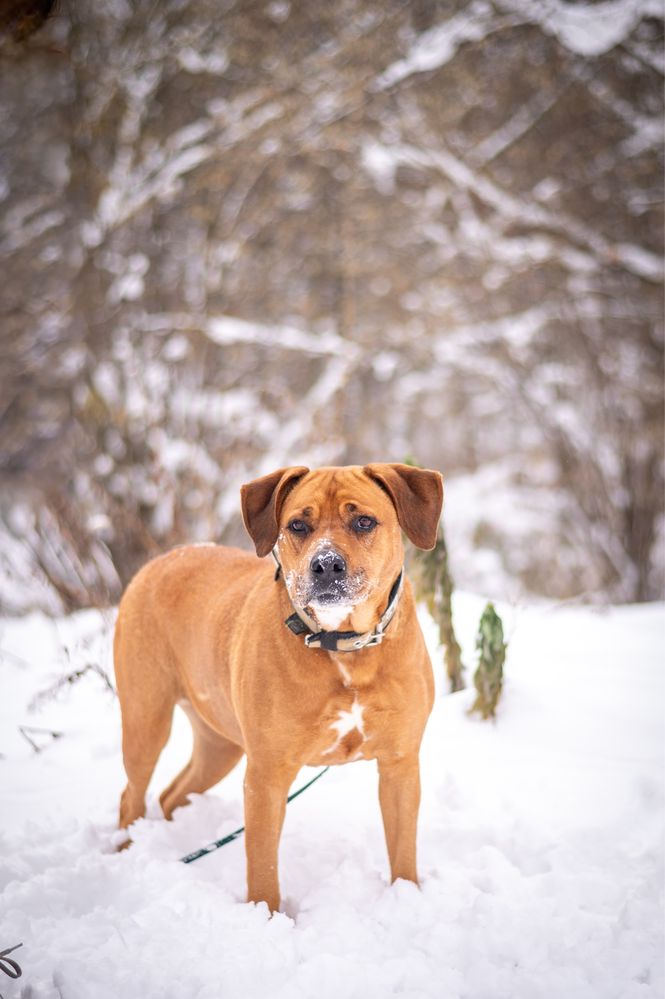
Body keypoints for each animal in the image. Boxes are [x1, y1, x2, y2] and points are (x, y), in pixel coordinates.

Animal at [116, 464, 444, 912]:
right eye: (297, 525)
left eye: (363, 521)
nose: (326, 565)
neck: (344, 646)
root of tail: (161, 560)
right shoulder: (267, 776)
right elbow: (263, 865)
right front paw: (266, 917)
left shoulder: (400, 763)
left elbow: (403, 850)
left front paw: (406, 898)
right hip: (146, 720)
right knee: (130, 797)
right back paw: (128, 855)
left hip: (220, 743)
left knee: (171, 795)